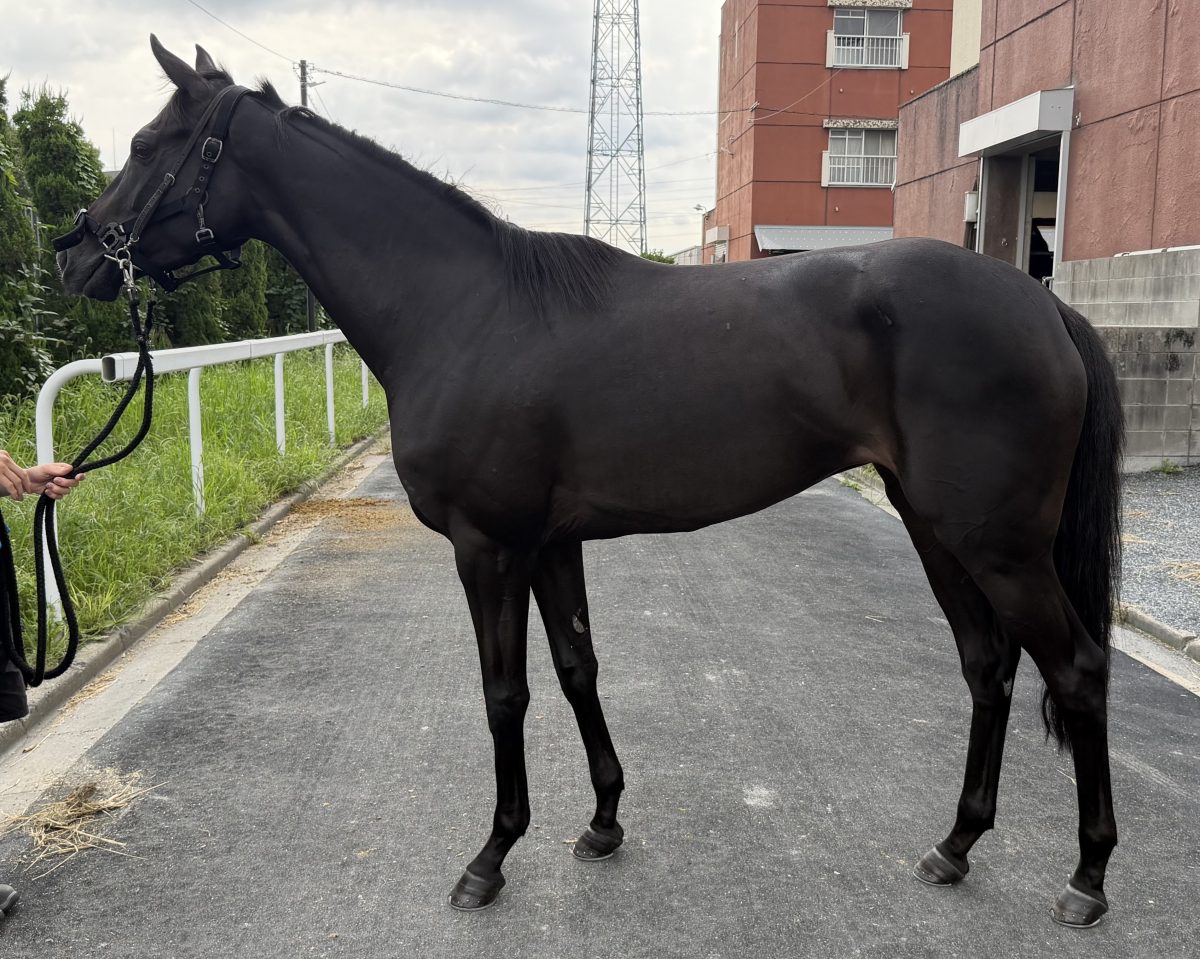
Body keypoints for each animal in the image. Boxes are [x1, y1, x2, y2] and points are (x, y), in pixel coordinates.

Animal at [56, 37, 1123, 927]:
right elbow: (578, 669)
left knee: (1075, 668)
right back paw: (955, 844)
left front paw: (490, 857)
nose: (76, 252)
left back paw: (1087, 877)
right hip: (935, 526)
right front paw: (603, 820)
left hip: (997, 543)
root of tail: (1042, 305)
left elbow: (505, 692)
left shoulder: (488, 547)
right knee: (988, 666)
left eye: (149, 143)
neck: (464, 307)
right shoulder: (550, 542)